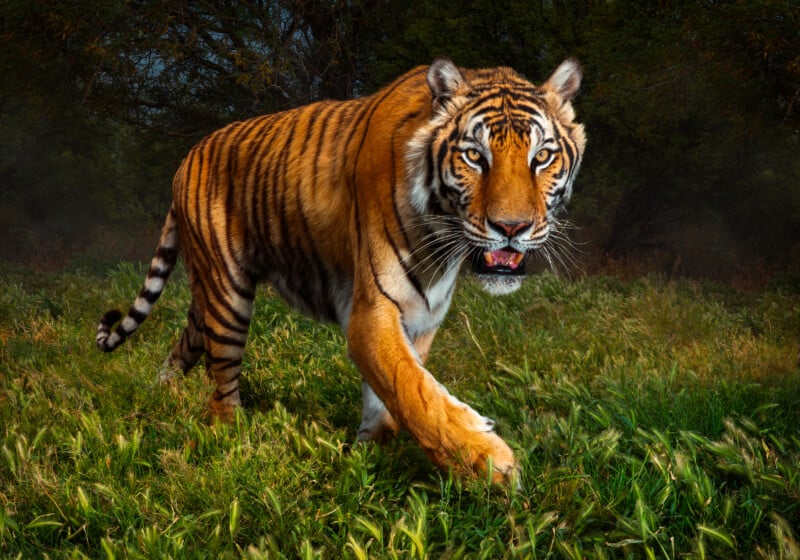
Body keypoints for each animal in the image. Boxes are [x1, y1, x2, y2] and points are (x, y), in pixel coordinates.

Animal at [96, 57, 586, 483]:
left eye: (542, 157)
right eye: (474, 157)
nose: (512, 227)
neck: (441, 241)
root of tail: (185, 159)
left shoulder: (421, 316)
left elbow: (391, 398)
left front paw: (367, 457)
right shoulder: (373, 311)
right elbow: (413, 390)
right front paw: (490, 463)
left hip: (208, 296)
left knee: (186, 344)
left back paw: (160, 393)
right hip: (228, 295)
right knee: (221, 384)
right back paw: (233, 438)